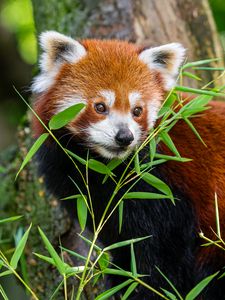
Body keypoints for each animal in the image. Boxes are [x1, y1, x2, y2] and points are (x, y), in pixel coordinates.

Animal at [32, 31, 225, 298]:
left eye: (137, 110)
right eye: (100, 107)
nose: (124, 137)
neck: (106, 169)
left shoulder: (166, 189)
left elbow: (162, 256)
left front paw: (144, 288)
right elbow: (125, 246)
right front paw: (119, 279)